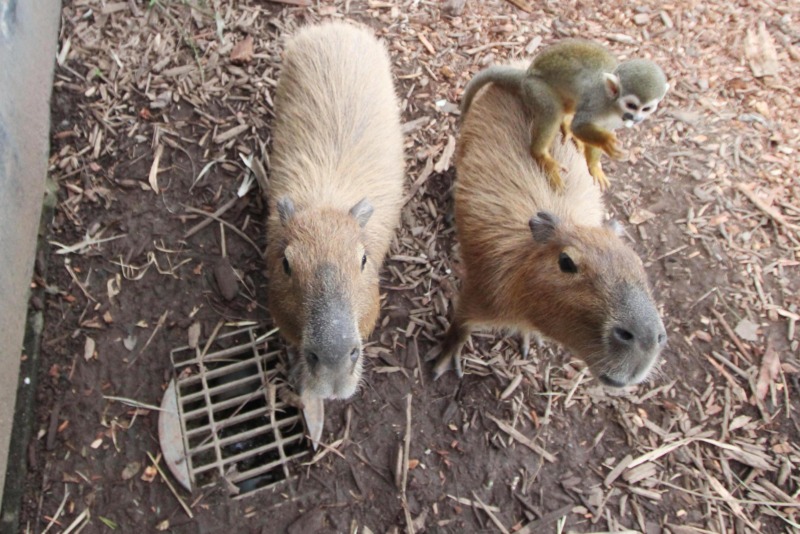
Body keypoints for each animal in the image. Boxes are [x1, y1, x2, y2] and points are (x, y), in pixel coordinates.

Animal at [460, 40, 664, 194]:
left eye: (646, 108)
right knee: (552, 112)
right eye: (632, 105)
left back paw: (565, 125)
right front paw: (606, 142)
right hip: (536, 88)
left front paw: (594, 166)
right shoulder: (596, 102)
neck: (613, 107)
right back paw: (541, 154)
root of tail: (527, 75)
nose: (636, 118)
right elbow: (580, 125)